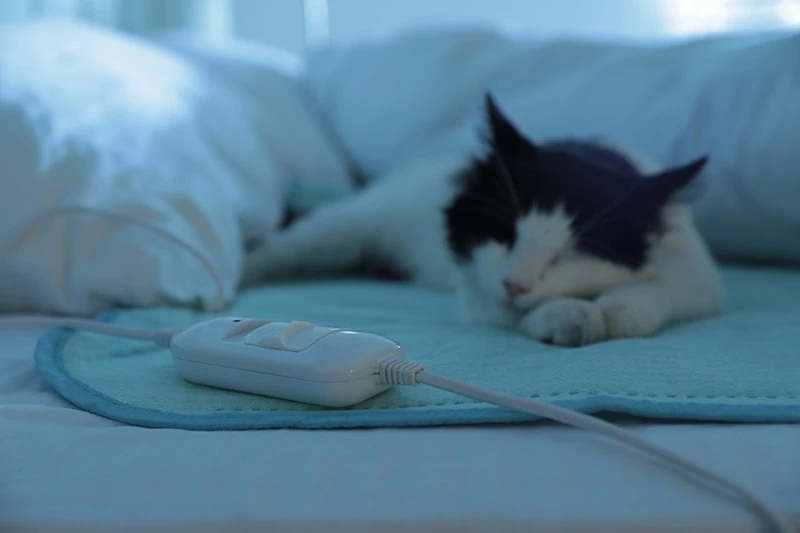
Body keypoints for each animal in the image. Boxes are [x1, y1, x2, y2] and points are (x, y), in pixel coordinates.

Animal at [239, 94, 724, 348]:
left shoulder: (699, 275)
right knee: (283, 246)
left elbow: (652, 299)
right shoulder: (476, 289)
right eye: (503, 233)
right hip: (348, 225)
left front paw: (613, 308)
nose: (516, 283)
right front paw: (570, 316)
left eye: (569, 254)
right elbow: (510, 310)